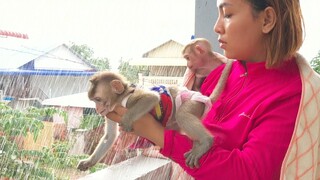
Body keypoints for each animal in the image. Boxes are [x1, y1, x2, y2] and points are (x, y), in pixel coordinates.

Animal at [77, 60, 232, 170]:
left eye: (98, 99)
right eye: (93, 100)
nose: (97, 109)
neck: (120, 99)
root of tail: (204, 97)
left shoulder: (129, 99)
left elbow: (151, 98)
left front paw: (127, 119)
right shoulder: (110, 112)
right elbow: (110, 136)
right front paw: (88, 161)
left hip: (193, 102)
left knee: (183, 114)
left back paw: (206, 141)